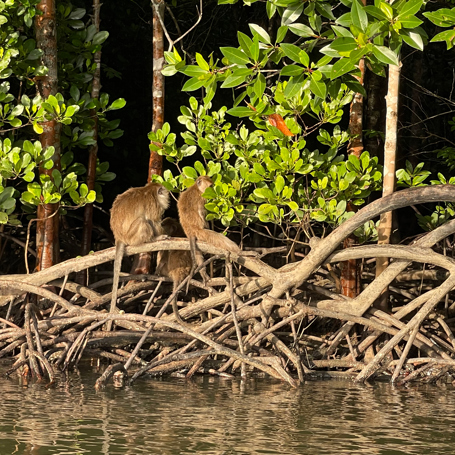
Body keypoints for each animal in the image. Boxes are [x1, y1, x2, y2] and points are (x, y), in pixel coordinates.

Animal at [109, 183, 171, 332]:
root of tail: (119, 237)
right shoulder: (154, 204)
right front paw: (161, 235)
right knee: (143, 221)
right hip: (132, 236)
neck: (150, 189)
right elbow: (154, 221)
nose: (168, 196)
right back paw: (152, 239)